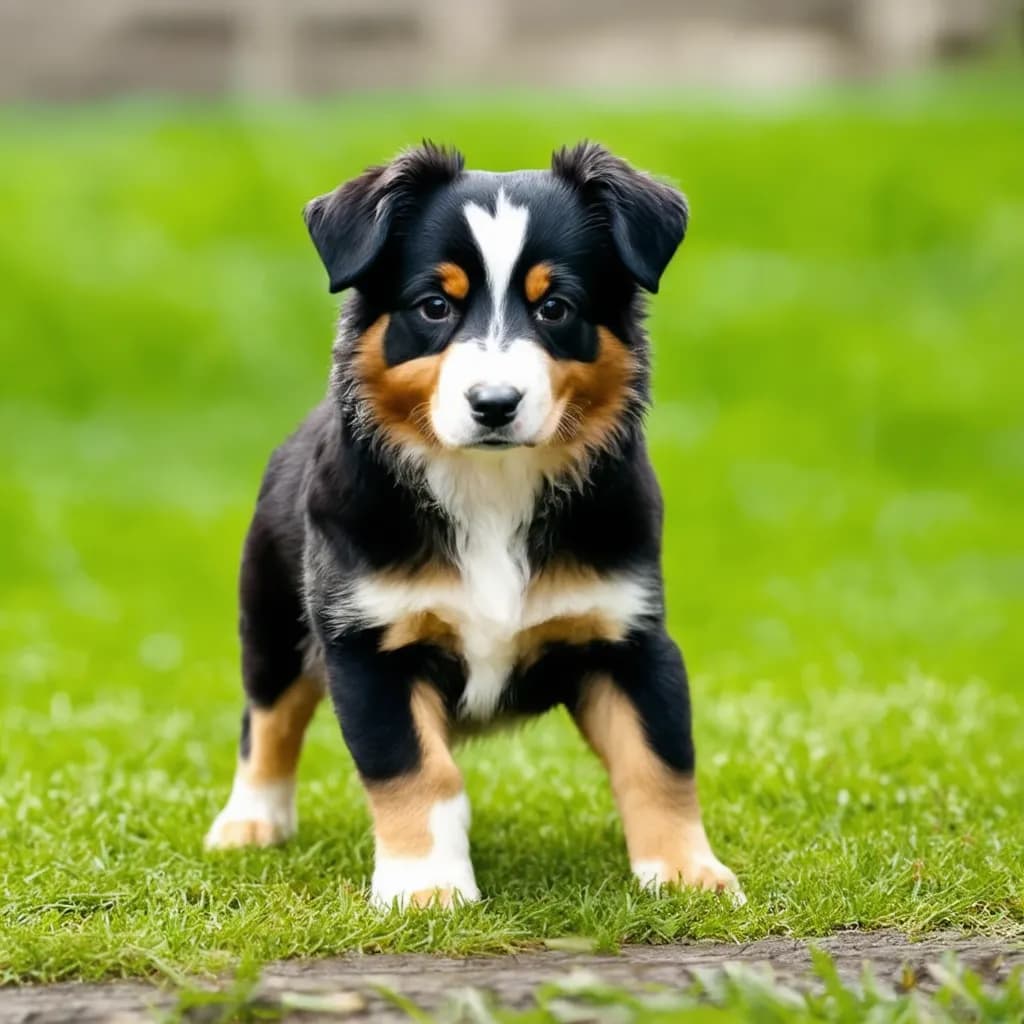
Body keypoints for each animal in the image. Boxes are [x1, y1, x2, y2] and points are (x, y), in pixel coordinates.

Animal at [205, 140, 745, 909]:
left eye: (555, 307)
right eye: (435, 306)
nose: (494, 403)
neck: (492, 488)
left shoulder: (630, 635)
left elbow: (660, 760)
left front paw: (683, 871)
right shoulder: (369, 642)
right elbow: (413, 770)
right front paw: (427, 887)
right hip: (274, 617)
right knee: (268, 716)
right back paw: (251, 822)